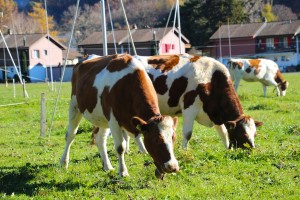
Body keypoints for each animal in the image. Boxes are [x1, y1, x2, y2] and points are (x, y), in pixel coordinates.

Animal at [126, 54, 262, 150]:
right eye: (243, 134)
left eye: (255, 134)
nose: (253, 149)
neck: (211, 79)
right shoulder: (189, 108)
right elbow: (187, 134)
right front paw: (185, 152)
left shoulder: (215, 113)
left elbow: (223, 132)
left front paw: (228, 149)